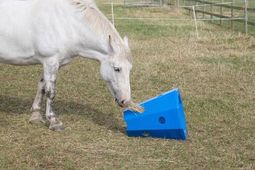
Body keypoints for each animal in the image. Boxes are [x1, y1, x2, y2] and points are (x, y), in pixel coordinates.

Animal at [0, 0, 133, 131]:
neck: (67, 23)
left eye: (130, 69)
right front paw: (54, 122)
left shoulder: (51, 64)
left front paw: (36, 116)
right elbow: (50, 92)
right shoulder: (50, 61)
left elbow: (41, 87)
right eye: (117, 69)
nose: (125, 100)